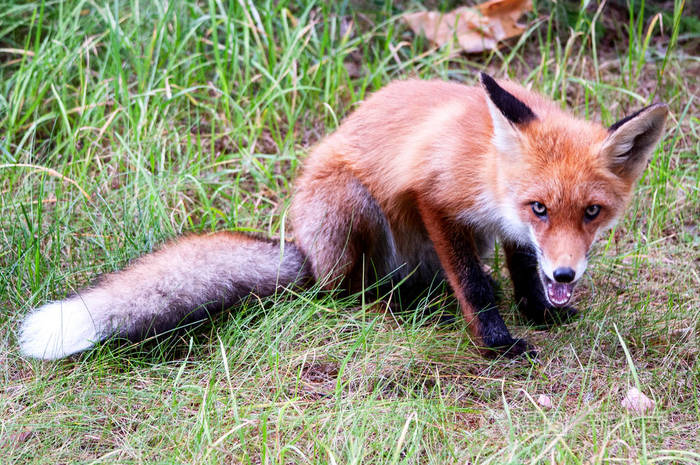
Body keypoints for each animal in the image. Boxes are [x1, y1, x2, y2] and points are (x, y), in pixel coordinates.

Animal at [17, 74, 668, 360]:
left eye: (592, 213)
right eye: (540, 207)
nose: (567, 276)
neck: (487, 166)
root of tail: (301, 250)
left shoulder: (508, 232)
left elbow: (521, 270)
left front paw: (537, 309)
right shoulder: (437, 199)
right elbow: (478, 287)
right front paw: (497, 341)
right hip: (351, 207)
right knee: (341, 294)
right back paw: (389, 309)